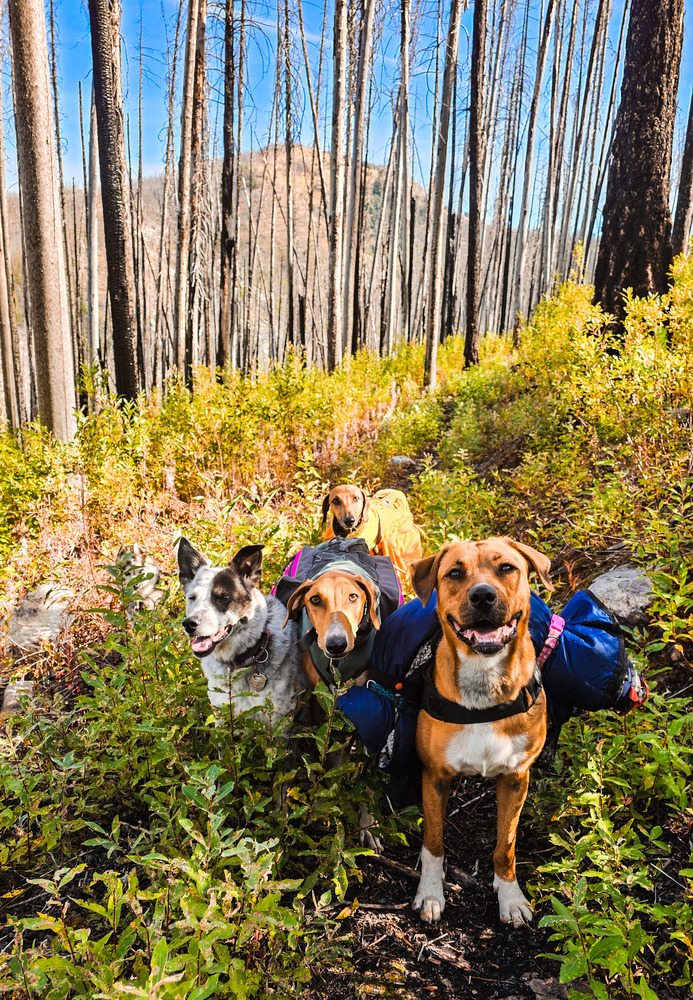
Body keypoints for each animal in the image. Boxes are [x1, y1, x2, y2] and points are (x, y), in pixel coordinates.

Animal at [410, 540, 552, 928]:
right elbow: (434, 842)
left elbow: (506, 845)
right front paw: (431, 893)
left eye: (506, 568)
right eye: (455, 573)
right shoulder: (434, 776)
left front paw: (510, 897)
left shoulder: (516, 778)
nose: (483, 595)